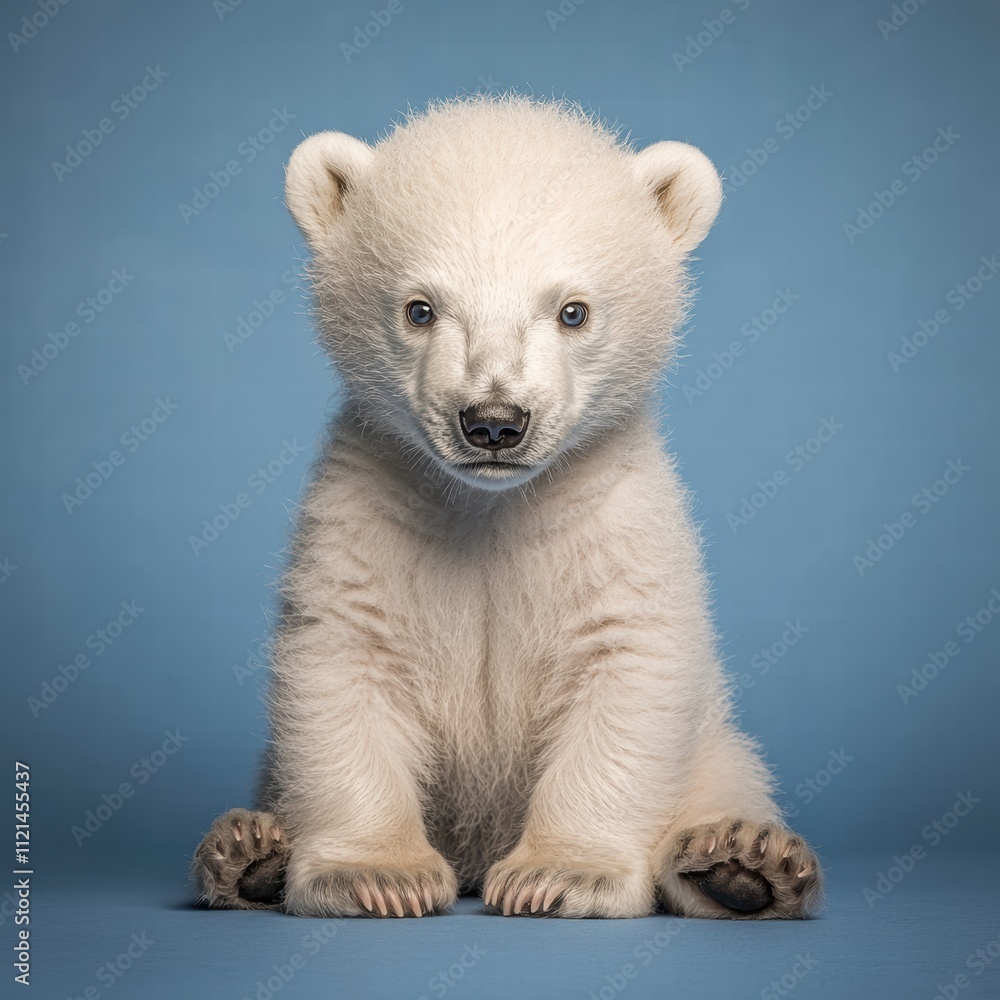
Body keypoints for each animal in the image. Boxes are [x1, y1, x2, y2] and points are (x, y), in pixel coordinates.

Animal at [192, 94, 822, 920]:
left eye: (573, 311)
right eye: (420, 309)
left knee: (729, 772)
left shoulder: (614, 525)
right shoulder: (369, 508)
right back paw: (248, 849)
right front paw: (374, 874)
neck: (490, 505)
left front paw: (562, 874)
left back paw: (743, 860)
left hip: (709, 747)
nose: (493, 421)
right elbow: (345, 664)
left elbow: (626, 671)